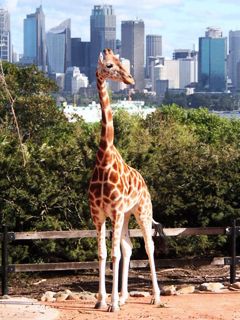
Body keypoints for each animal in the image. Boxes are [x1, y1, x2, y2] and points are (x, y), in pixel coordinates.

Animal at [88, 48, 161, 312]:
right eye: (110, 65)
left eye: (122, 62)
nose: (130, 79)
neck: (104, 159)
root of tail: (144, 183)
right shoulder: (98, 214)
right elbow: (102, 253)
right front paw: (102, 301)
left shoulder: (116, 211)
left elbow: (114, 255)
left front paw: (113, 305)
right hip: (128, 214)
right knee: (128, 247)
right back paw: (124, 296)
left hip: (142, 211)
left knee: (148, 246)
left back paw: (156, 297)